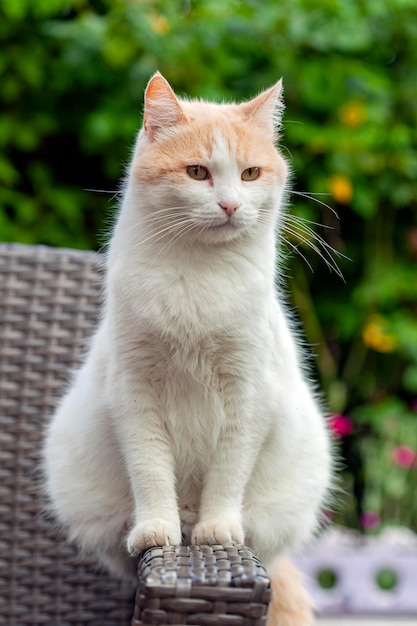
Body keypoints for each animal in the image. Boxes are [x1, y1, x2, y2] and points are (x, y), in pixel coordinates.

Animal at [44, 73, 332, 624]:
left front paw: (215, 529)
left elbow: (228, 470)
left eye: (250, 173)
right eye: (198, 172)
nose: (230, 205)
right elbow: (151, 470)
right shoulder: (135, 393)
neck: (198, 274)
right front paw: (158, 529)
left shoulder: (249, 394)